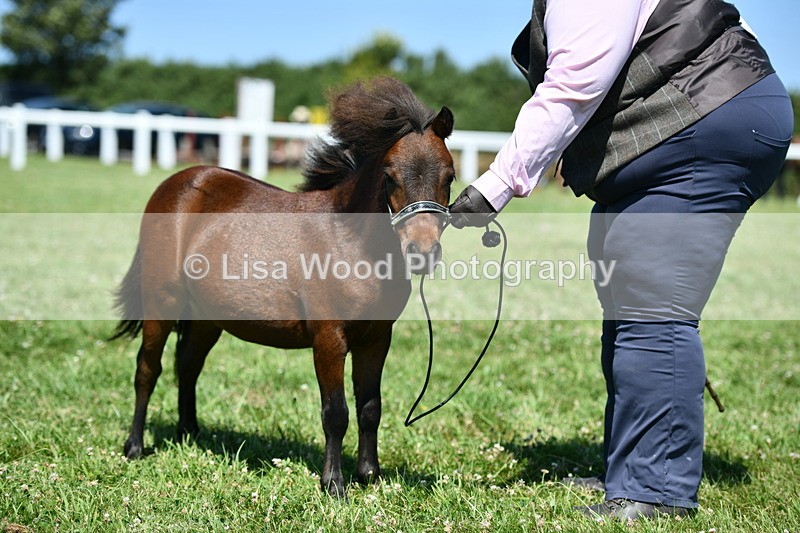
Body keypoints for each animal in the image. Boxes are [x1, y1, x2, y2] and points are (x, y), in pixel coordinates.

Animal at [110, 76, 456, 497]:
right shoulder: (329, 339)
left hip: (207, 318)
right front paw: (334, 483)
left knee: (188, 366)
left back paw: (189, 434)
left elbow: (370, 407)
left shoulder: (376, 338)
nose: (422, 251)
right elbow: (336, 413)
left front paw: (370, 475)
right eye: (390, 176)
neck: (351, 242)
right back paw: (134, 446)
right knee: (148, 369)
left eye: (449, 176)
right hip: (162, 303)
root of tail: (178, 182)